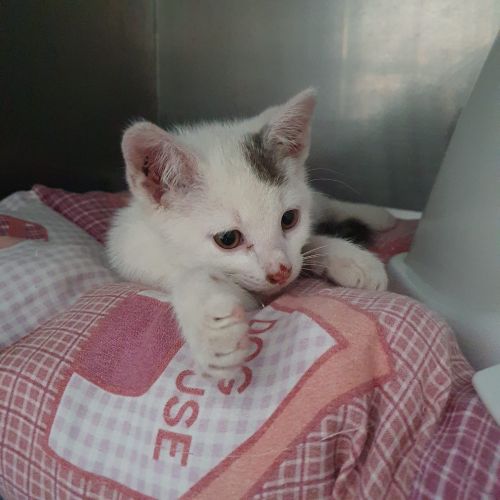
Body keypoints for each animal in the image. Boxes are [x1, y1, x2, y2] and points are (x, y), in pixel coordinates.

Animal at [106, 88, 395, 378]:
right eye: (228, 239)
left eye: (289, 219)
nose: (281, 272)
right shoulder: (135, 259)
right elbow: (194, 277)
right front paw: (214, 331)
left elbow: (307, 244)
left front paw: (353, 259)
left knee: (325, 203)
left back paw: (379, 216)